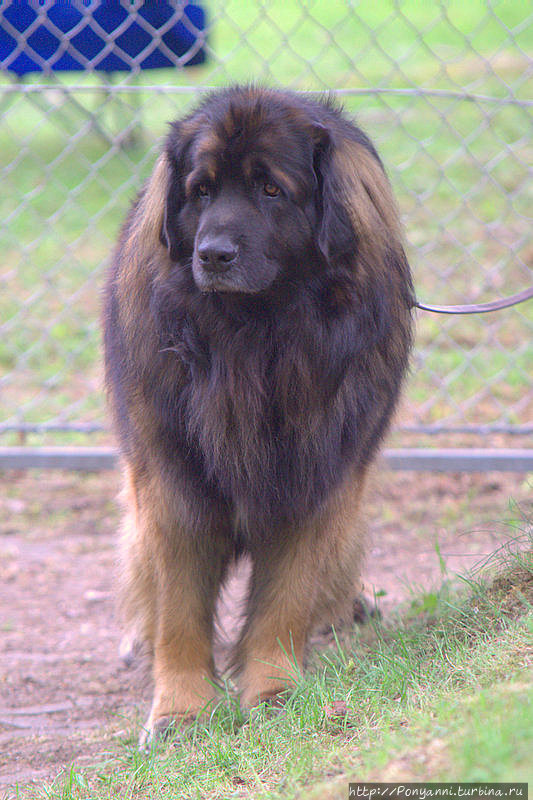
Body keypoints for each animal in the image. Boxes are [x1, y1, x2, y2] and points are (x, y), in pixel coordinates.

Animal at [102, 84, 414, 740]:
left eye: (271, 189)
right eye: (201, 190)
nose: (213, 254)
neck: (252, 340)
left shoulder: (318, 476)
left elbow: (286, 597)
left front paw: (273, 689)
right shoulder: (172, 481)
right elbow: (179, 607)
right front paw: (181, 710)